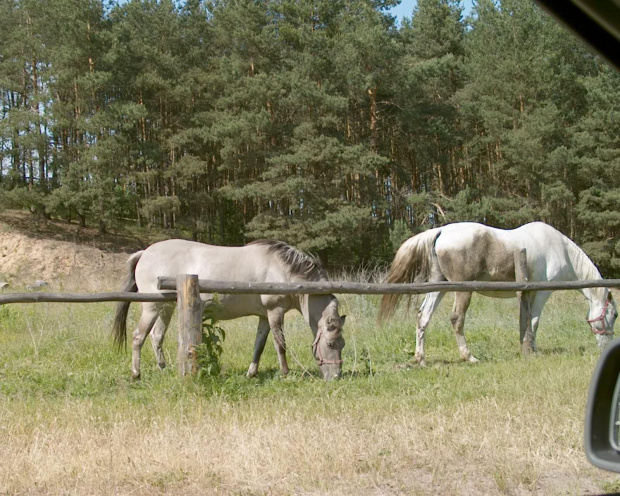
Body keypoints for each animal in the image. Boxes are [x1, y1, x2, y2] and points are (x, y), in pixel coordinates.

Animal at [111, 239, 344, 380]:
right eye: (330, 343)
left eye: (342, 344)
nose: (336, 376)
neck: (284, 271)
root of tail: (144, 253)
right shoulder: (274, 312)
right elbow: (280, 345)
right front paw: (285, 373)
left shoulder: (263, 317)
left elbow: (259, 346)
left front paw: (251, 373)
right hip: (152, 307)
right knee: (138, 337)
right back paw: (136, 374)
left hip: (166, 308)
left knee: (156, 336)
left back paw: (163, 369)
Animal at [378, 221, 616, 364]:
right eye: (614, 314)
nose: (608, 346)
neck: (561, 249)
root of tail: (441, 231)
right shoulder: (542, 291)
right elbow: (535, 320)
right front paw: (532, 349)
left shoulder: (527, 292)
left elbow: (524, 319)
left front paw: (524, 346)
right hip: (461, 289)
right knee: (456, 318)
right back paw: (469, 357)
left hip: (439, 287)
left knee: (423, 317)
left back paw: (420, 358)